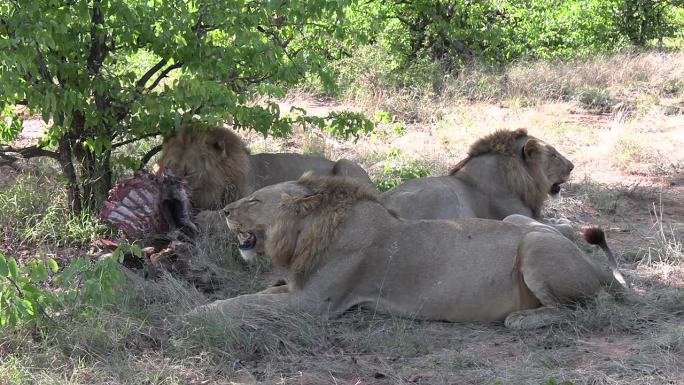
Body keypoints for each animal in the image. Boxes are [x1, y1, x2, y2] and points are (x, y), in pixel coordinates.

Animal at [195, 173, 628, 328]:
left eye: (254, 200)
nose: (225, 211)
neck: (305, 235)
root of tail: (596, 268)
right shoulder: (298, 289)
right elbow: (254, 295)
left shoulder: (312, 304)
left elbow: (243, 304)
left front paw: (196, 315)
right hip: (517, 221)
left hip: (536, 246)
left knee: (583, 308)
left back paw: (522, 320)